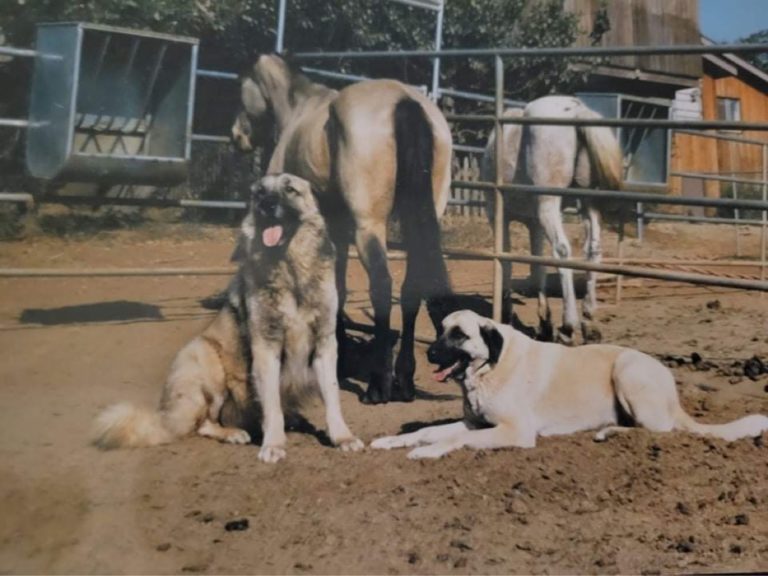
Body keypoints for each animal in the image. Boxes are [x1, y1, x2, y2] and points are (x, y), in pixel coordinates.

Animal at [231, 55, 452, 404]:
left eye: (241, 87)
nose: (236, 136)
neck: (297, 108)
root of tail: (404, 100)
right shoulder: (337, 227)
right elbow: (339, 287)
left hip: (368, 226)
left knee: (382, 286)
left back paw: (378, 385)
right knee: (410, 290)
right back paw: (404, 380)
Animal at [370, 310, 760, 460]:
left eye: (459, 335)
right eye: (439, 331)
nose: (430, 353)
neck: (488, 369)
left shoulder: (515, 431)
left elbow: (455, 440)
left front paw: (429, 451)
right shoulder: (473, 422)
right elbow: (425, 431)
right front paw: (392, 441)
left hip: (627, 369)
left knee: (659, 432)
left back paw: (609, 432)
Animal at [484, 97, 628, 344]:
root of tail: (575, 111)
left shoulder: (498, 217)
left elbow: (507, 261)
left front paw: (507, 315)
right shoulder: (535, 225)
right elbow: (537, 265)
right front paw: (544, 323)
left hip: (548, 205)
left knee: (562, 251)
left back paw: (568, 327)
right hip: (587, 203)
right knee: (593, 250)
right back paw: (589, 322)